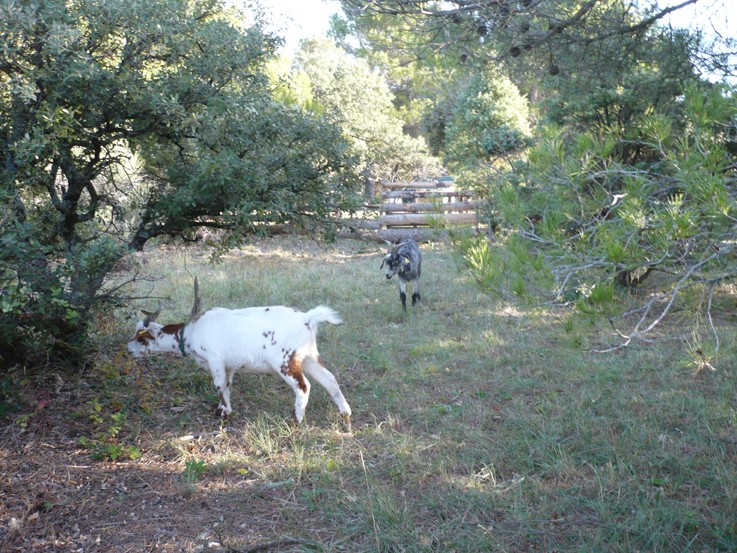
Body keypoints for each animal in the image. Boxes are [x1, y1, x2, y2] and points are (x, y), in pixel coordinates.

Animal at [126, 280, 350, 426]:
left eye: (140, 338)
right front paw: (220, 409)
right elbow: (227, 384)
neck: (191, 333)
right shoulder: (229, 364)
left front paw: (225, 415)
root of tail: (308, 319)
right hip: (309, 356)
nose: (128, 349)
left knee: (303, 386)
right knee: (329, 379)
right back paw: (345, 413)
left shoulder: (215, 359)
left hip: (285, 360)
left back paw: (296, 420)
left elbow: (218, 384)